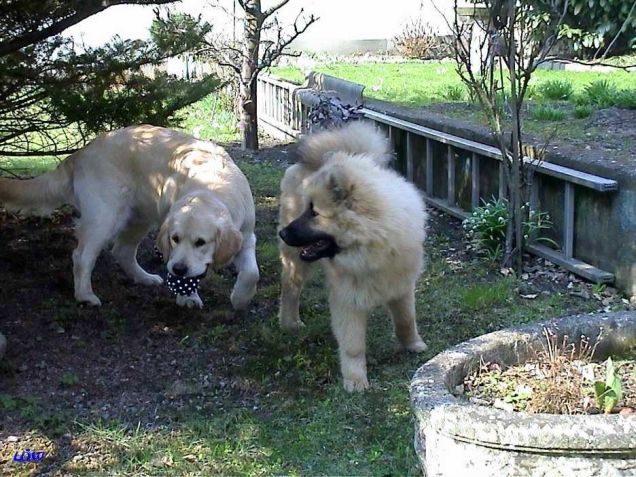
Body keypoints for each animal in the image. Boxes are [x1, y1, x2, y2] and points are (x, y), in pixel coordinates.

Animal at [0, 124, 258, 308]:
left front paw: (240, 298)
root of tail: (81, 152)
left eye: (201, 242)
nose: (177, 270)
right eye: (174, 239)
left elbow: (252, 273)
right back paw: (85, 296)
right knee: (82, 256)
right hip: (105, 217)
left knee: (122, 250)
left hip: (140, 217)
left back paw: (143, 278)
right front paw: (188, 298)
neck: (213, 187)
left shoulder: (246, 236)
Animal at [278, 122, 428, 390]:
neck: (373, 248)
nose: (283, 233)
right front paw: (356, 380)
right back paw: (290, 322)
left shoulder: (401, 286)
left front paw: (413, 344)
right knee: (291, 288)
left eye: (314, 213)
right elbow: (353, 345)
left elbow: (406, 320)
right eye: (307, 209)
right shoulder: (348, 299)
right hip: (296, 261)